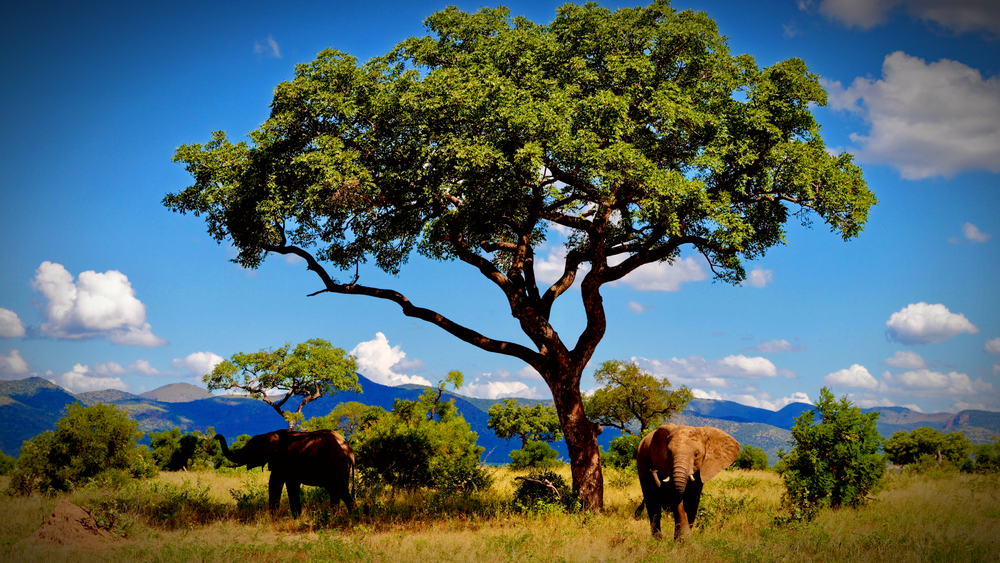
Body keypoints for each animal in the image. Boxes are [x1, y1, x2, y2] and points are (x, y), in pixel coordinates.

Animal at [216, 429, 357, 518]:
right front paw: (297, 517)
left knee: (336, 490)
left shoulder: (282, 460)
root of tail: (349, 453)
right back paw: (351, 516)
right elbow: (292, 485)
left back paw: (335, 517)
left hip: (334, 466)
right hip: (342, 469)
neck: (270, 434)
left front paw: (273, 518)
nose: (216, 436)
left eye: (251, 450)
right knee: (342, 490)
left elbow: (275, 483)